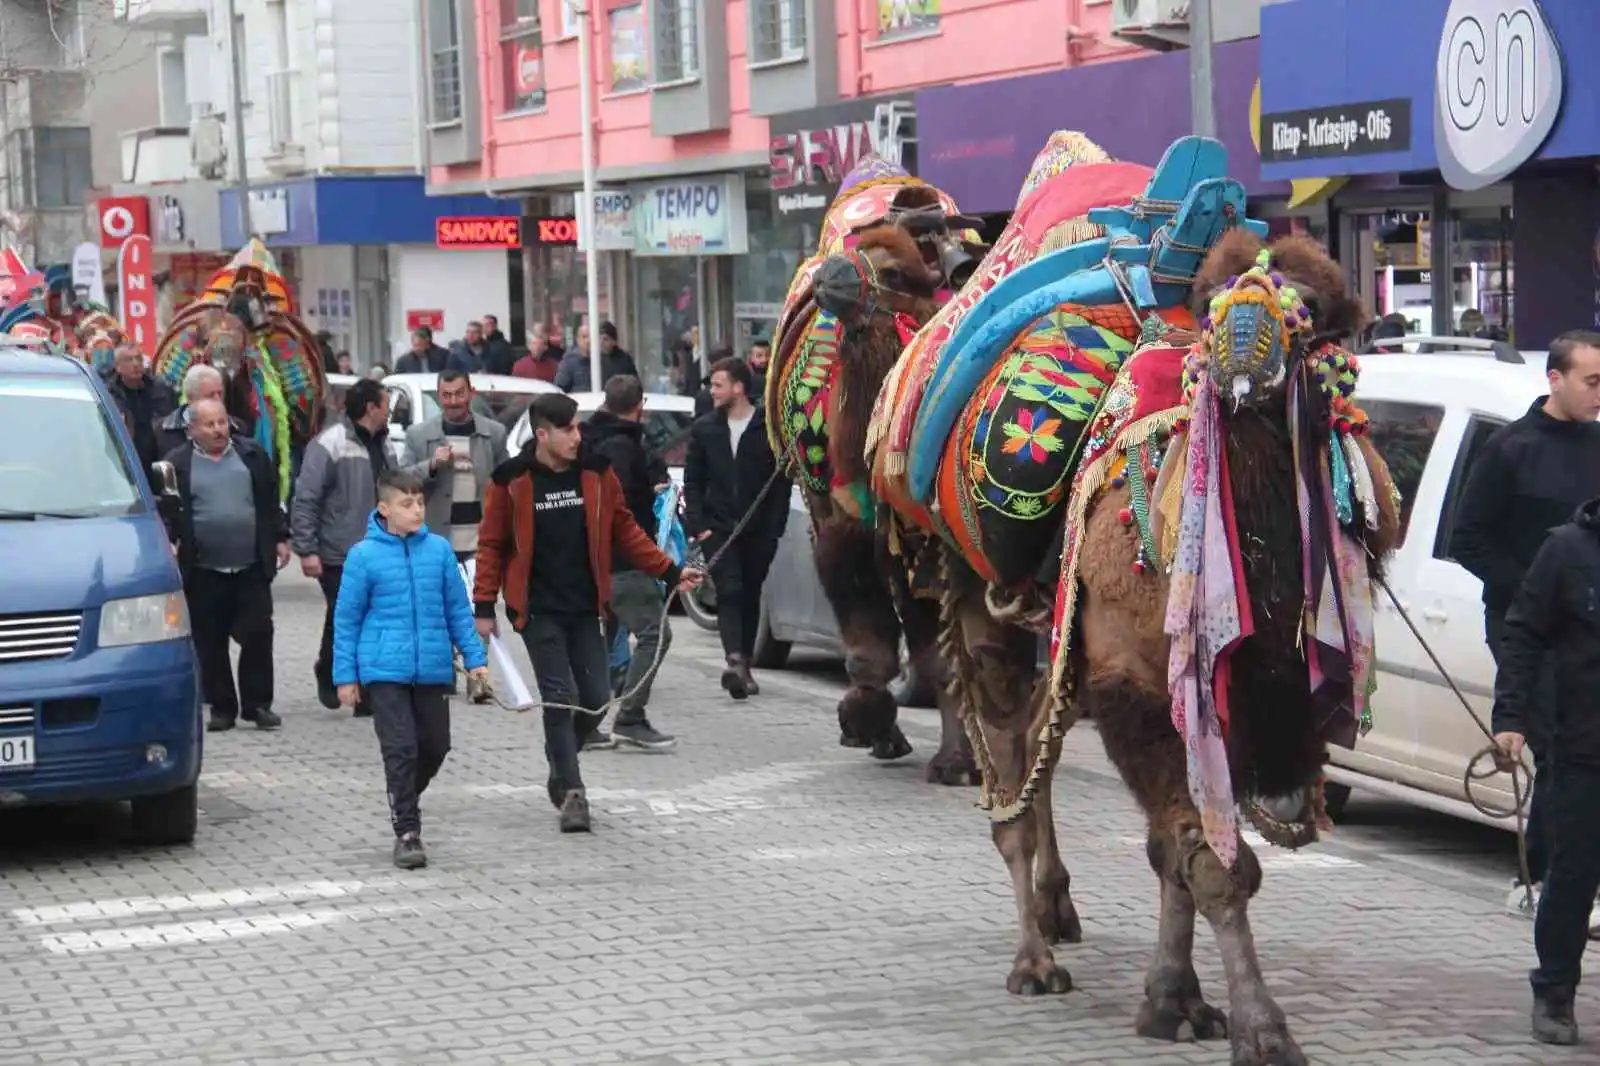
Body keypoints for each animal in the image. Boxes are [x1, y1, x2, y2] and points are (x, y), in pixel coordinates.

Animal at [768, 153, 992, 777]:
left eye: (894, 271)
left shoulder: (928, 536)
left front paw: (957, 760)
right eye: (858, 246)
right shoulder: (840, 522)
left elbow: (938, 652)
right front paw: (866, 721)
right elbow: (869, 648)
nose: (828, 277)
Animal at [851, 135, 1401, 1062]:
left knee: (1041, 750)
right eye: (1218, 301)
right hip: (984, 599)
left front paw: (1175, 997)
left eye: (1317, 314)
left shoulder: (1244, 700)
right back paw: (1033, 957)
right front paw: (1259, 1026)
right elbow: (1211, 862)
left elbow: (1174, 852)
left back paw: (1057, 908)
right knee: (1011, 763)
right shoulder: (1138, 687)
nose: (1245, 350)